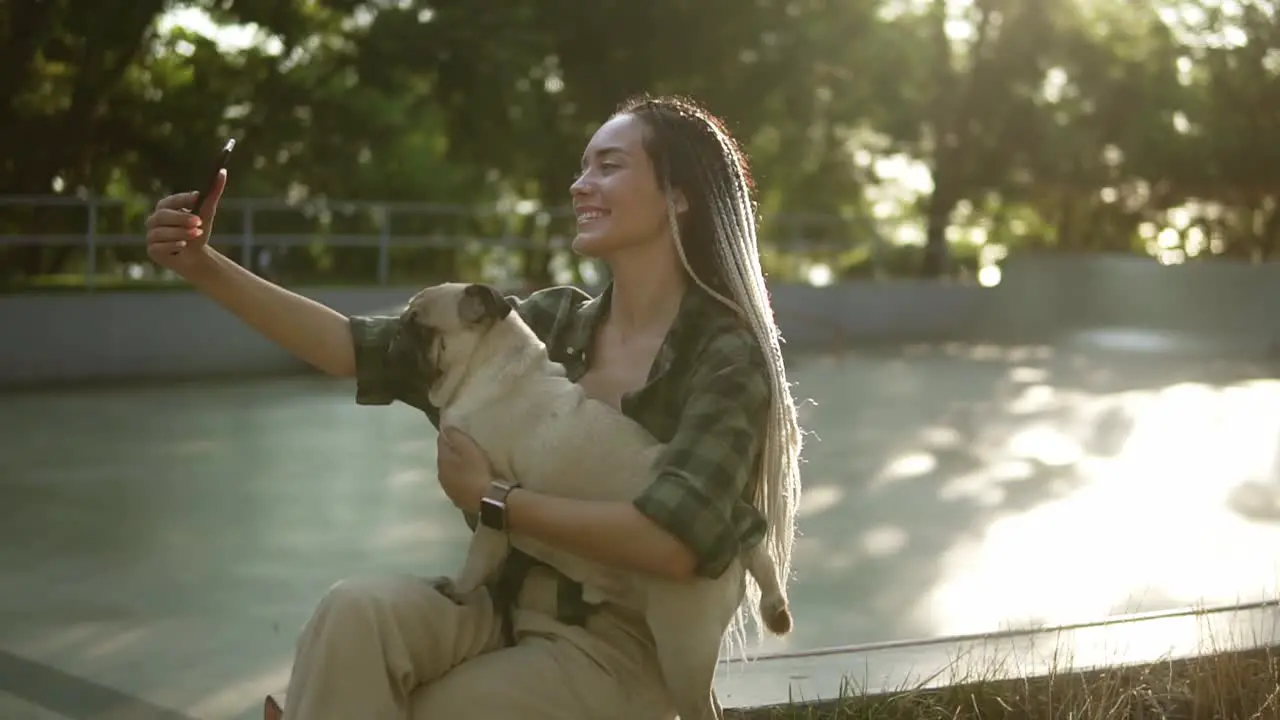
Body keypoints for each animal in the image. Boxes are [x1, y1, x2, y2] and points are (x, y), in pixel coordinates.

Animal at [394, 281, 793, 717]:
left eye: (419, 326)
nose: (395, 329)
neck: (488, 366)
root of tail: (736, 538)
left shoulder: (489, 499)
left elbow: (478, 558)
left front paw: (459, 588)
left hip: (682, 646)